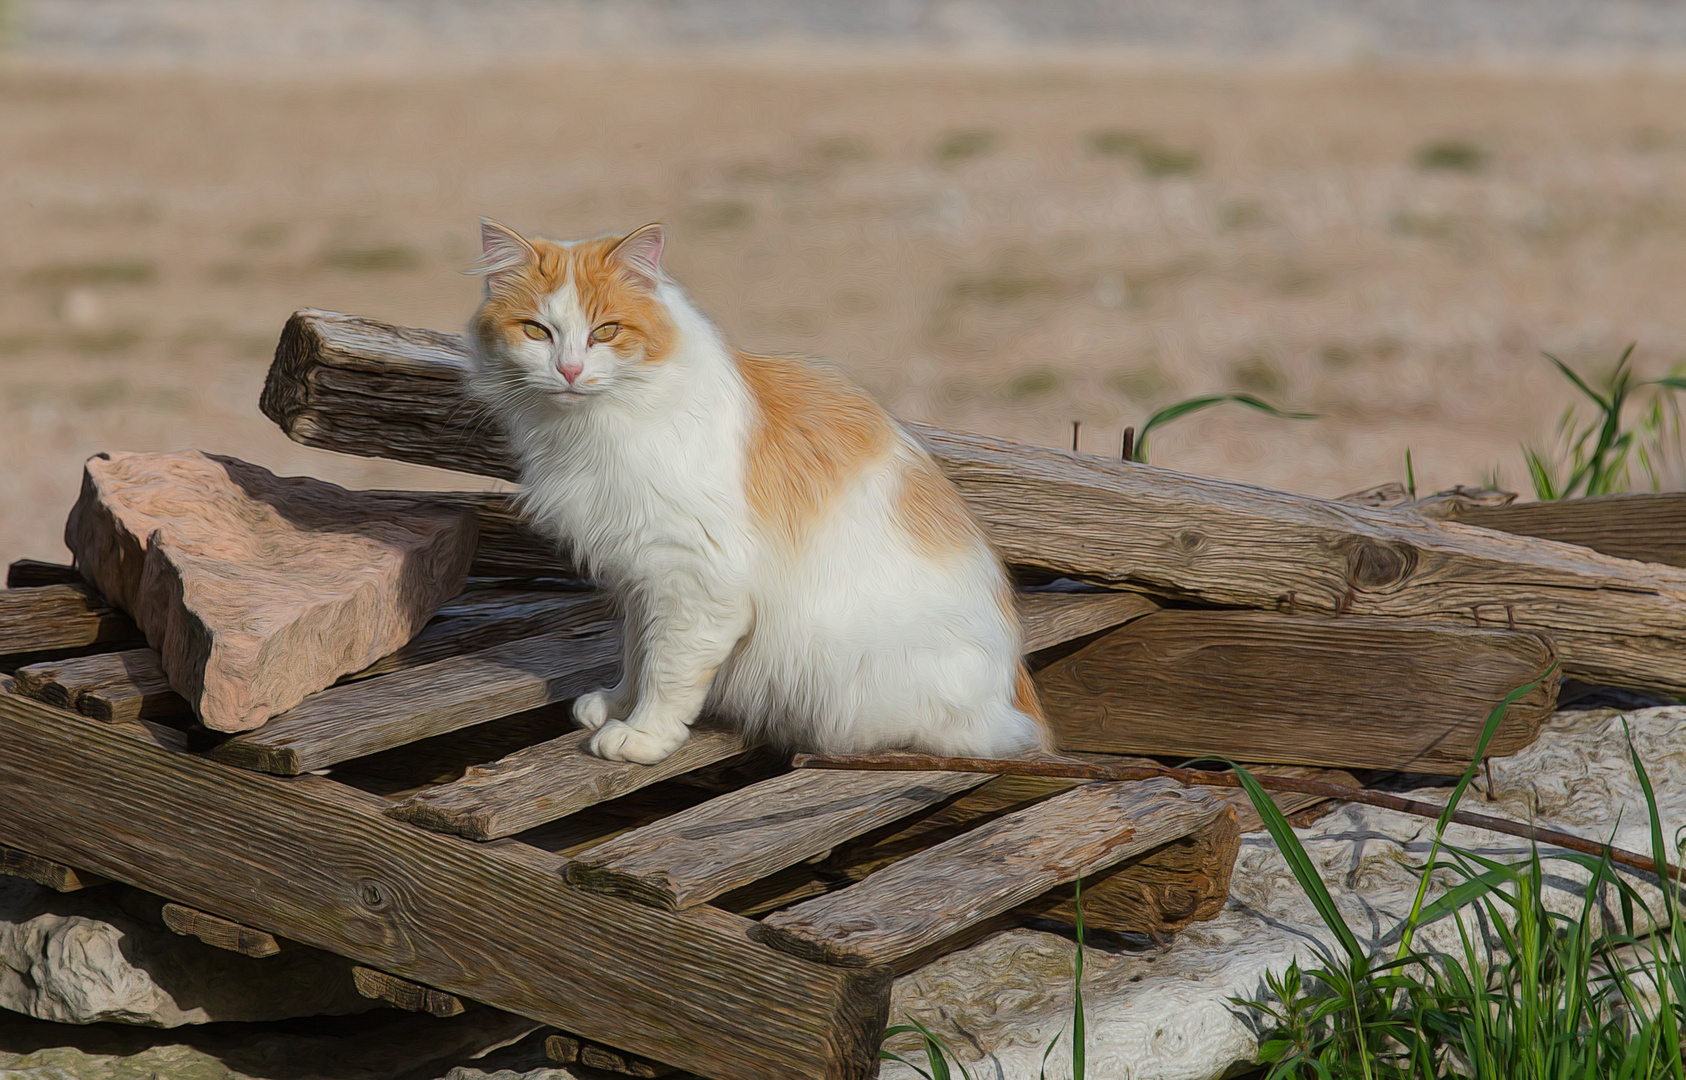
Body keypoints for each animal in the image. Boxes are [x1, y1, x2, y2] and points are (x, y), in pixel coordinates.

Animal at [461, 219, 1038, 761]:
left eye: (605, 331)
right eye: (536, 331)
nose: (570, 370)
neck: (591, 428)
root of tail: (1013, 707)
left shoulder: (696, 577)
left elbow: (666, 670)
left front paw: (643, 734)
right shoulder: (642, 574)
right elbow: (637, 649)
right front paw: (618, 702)